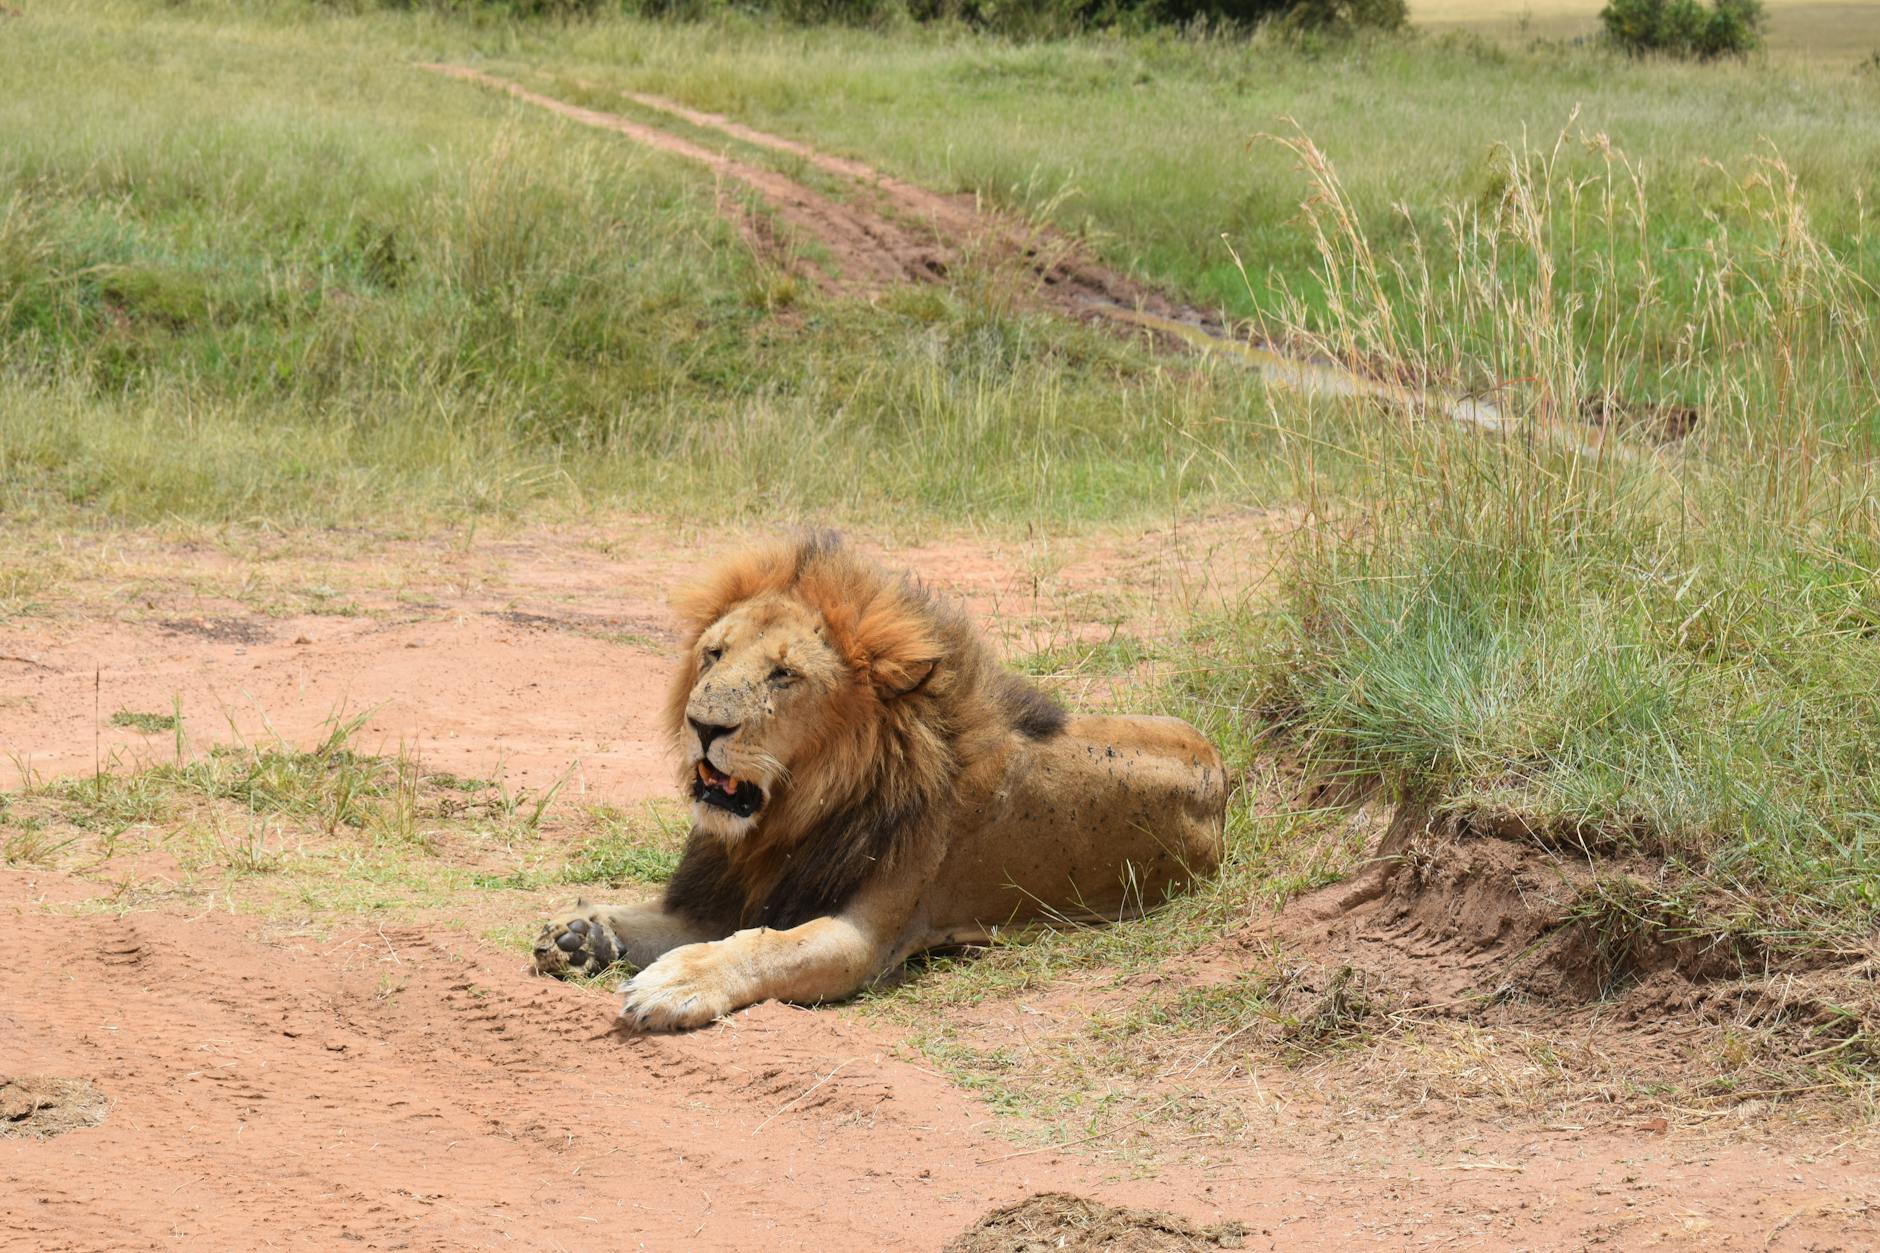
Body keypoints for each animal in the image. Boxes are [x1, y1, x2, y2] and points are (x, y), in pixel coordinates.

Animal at [531, 534, 1227, 1030]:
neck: (789, 820)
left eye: (784, 675)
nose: (702, 725)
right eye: (714, 654)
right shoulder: (732, 893)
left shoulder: (863, 937)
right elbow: (651, 917)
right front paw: (581, 934)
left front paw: (674, 983)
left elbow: (765, 948)